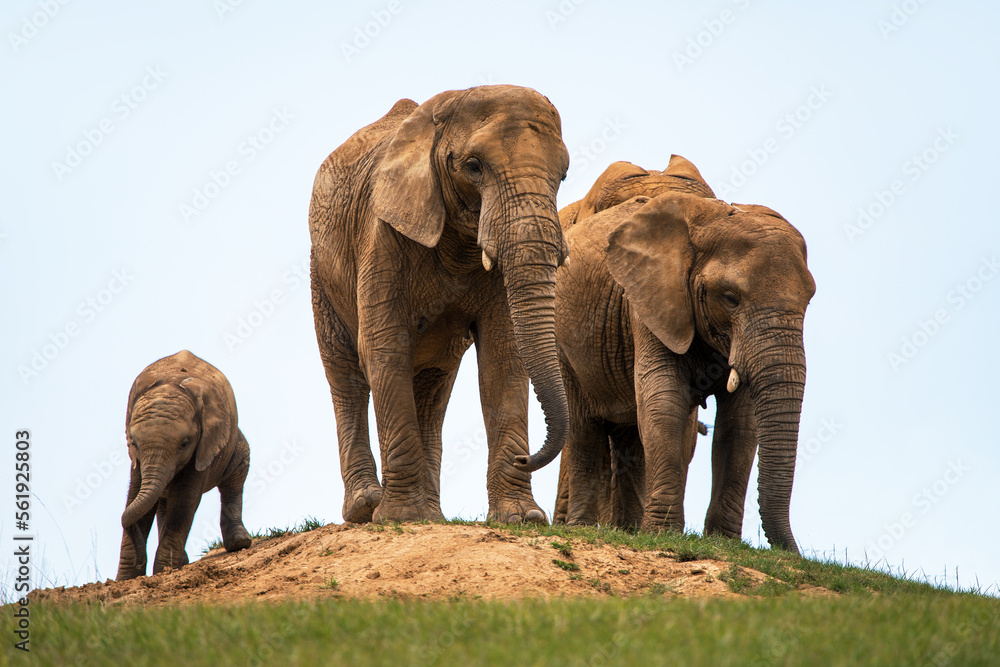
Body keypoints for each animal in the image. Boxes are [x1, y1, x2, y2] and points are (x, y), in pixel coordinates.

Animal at [116, 350, 252, 580]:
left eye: (185, 443)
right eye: (133, 442)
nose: (140, 558)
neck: (171, 383)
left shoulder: (205, 445)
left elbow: (184, 501)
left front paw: (163, 571)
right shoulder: (136, 459)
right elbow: (135, 495)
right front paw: (126, 580)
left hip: (233, 443)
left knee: (236, 477)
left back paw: (239, 542)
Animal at [309, 85, 571, 525]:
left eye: (563, 175)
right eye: (473, 166)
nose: (526, 458)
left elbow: (503, 355)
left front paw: (522, 519)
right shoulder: (381, 235)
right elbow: (383, 346)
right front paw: (401, 518)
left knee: (432, 387)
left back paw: (433, 514)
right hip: (322, 275)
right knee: (345, 374)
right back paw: (367, 507)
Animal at [552, 157, 815, 553]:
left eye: (809, 300)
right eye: (730, 298)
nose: (791, 552)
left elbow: (741, 422)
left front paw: (722, 543)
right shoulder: (649, 299)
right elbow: (663, 399)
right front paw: (663, 534)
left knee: (630, 434)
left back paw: (628, 530)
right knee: (584, 426)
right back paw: (583, 527)